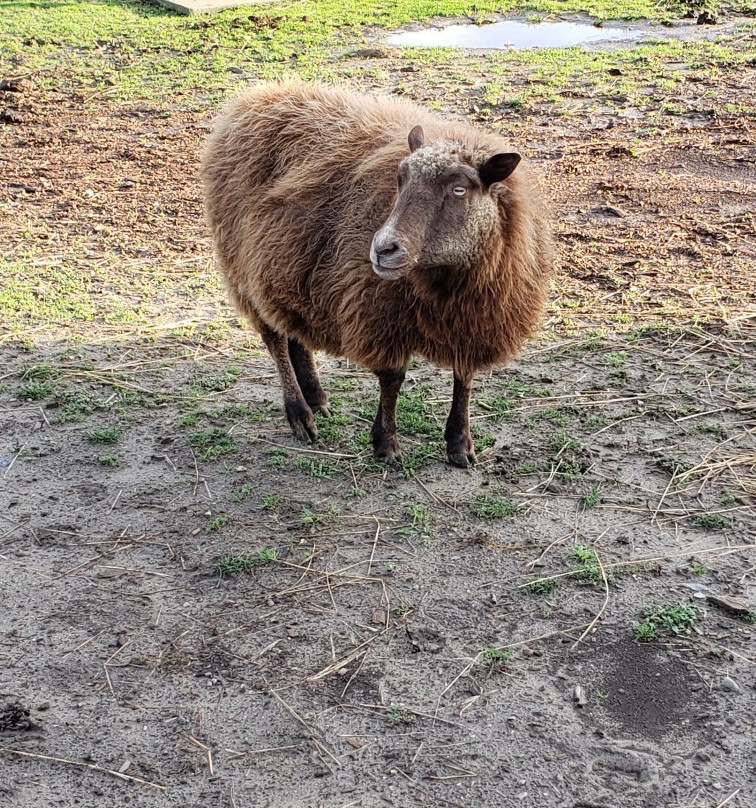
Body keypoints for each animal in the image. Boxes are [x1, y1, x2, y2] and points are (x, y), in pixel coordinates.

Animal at [204, 79, 552, 470]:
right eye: (399, 180)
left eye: (459, 189)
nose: (384, 249)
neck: (445, 281)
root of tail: (255, 97)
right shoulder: (379, 312)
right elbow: (393, 379)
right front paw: (386, 443)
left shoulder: (475, 322)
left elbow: (464, 378)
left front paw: (460, 444)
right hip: (241, 265)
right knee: (274, 337)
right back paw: (299, 414)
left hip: (283, 267)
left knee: (291, 330)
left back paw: (316, 397)